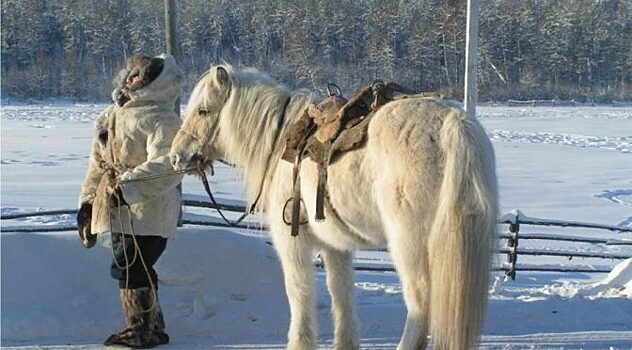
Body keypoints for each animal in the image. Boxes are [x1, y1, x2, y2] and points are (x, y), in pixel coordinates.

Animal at [169, 65, 498, 348]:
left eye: (203, 110)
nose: (176, 156)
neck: (279, 144)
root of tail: (454, 124)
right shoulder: (336, 247)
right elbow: (341, 294)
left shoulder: (293, 243)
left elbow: (299, 293)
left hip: (410, 245)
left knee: (420, 306)